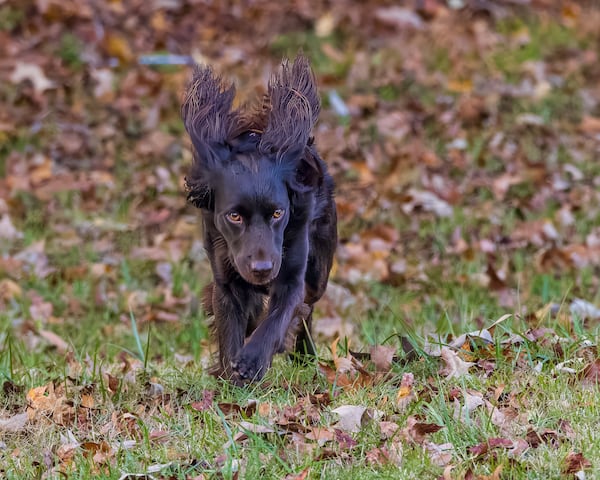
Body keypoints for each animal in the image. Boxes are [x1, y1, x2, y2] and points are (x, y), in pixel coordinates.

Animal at [180, 56, 338, 384]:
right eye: (234, 216)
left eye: (278, 213)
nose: (262, 269)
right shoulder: (225, 279)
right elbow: (230, 327)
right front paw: (230, 379)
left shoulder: (292, 274)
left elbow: (279, 316)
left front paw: (251, 361)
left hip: (319, 268)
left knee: (308, 308)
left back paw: (304, 356)